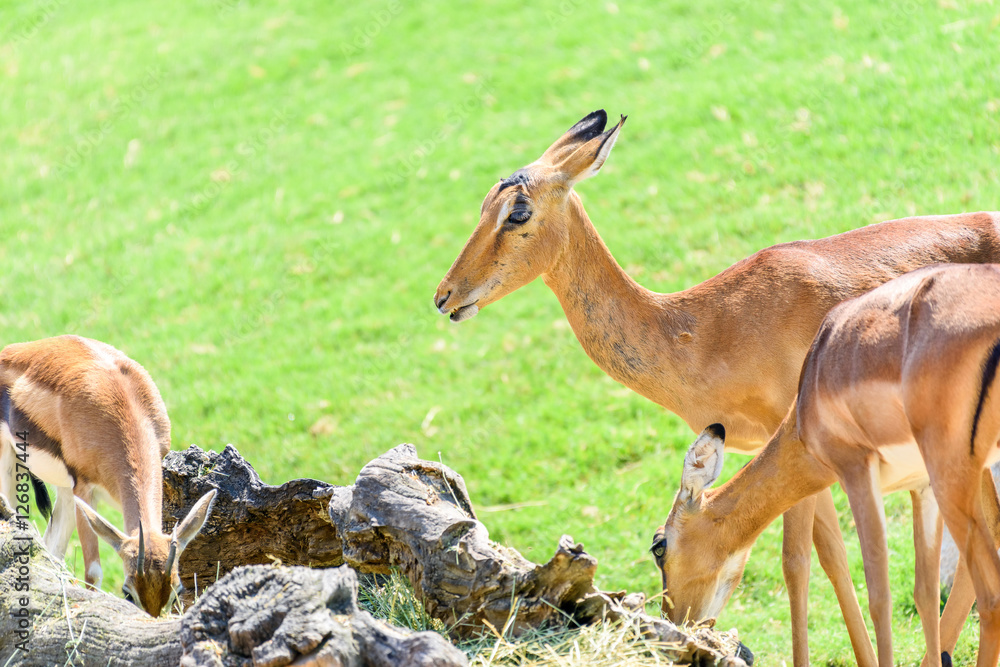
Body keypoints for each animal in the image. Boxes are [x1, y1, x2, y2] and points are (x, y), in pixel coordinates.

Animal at [0, 335, 216, 616]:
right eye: (127, 593)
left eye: (177, 591)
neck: (125, 402)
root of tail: (13, 351)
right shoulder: (84, 490)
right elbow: (93, 574)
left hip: (64, 492)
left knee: (52, 551)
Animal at [652, 263, 1000, 667]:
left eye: (659, 546)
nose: (673, 628)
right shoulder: (921, 486)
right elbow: (924, 596)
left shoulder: (857, 474)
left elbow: (878, 596)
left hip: (956, 478)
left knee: (991, 594)